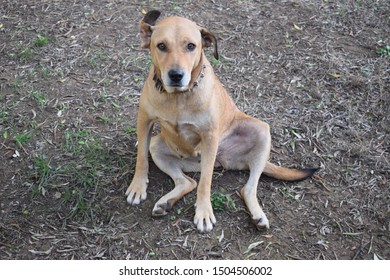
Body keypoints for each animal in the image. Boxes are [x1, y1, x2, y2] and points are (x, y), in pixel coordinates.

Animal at [126, 10, 316, 233]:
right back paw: (166, 203)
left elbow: (205, 182)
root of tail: (222, 160)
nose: (176, 75)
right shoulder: (144, 121)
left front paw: (204, 212)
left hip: (259, 130)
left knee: (246, 188)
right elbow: (141, 159)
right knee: (187, 182)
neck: (178, 98)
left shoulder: (209, 137)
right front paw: (138, 186)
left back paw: (258, 215)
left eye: (191, 46)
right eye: (161, 46)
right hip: (158, 146)